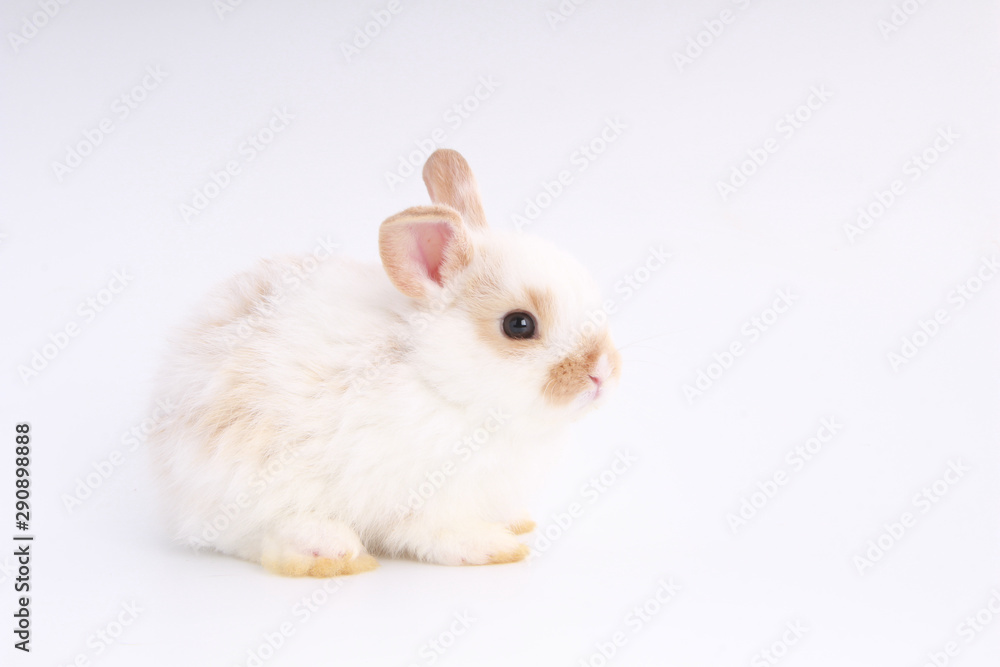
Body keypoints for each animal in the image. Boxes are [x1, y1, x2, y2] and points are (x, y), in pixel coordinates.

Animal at [149, 149, 620, 576]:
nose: (602, 374)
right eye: (519, 325)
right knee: (257, 536)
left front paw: (515, 525)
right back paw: (331, 551)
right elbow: (435, 534)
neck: (438, 382)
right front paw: (494, 548)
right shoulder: (424, 498)